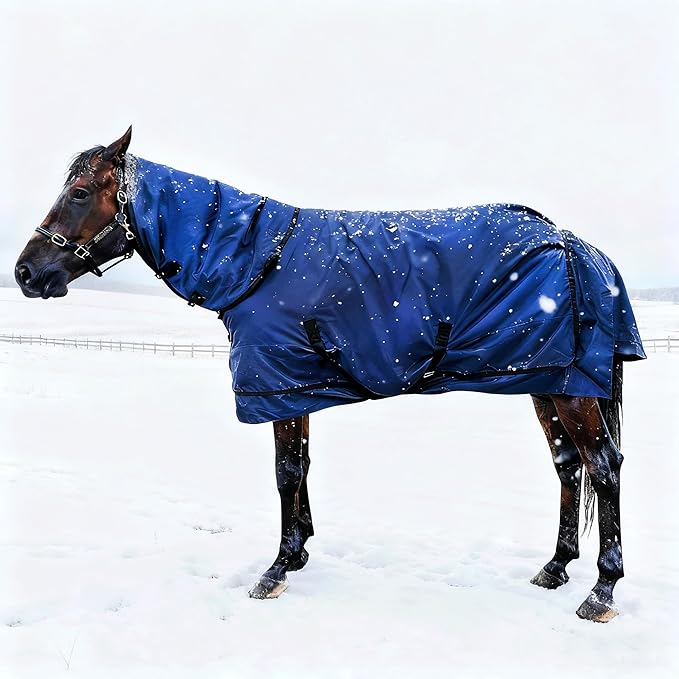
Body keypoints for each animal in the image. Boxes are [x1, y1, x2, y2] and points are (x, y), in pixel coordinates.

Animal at [15, 127, 645, 622]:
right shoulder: (294, 389)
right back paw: (555, 567)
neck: (256, 259)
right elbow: (301, 469)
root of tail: (583, 248)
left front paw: (276, 569)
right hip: (549, 381)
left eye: (79, 193)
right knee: (568, 467)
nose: (25, 272)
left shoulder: (277, 386)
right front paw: (297, 554)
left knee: (603, 467)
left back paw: (602, 590)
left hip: (573, 391)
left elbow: (286, 473)